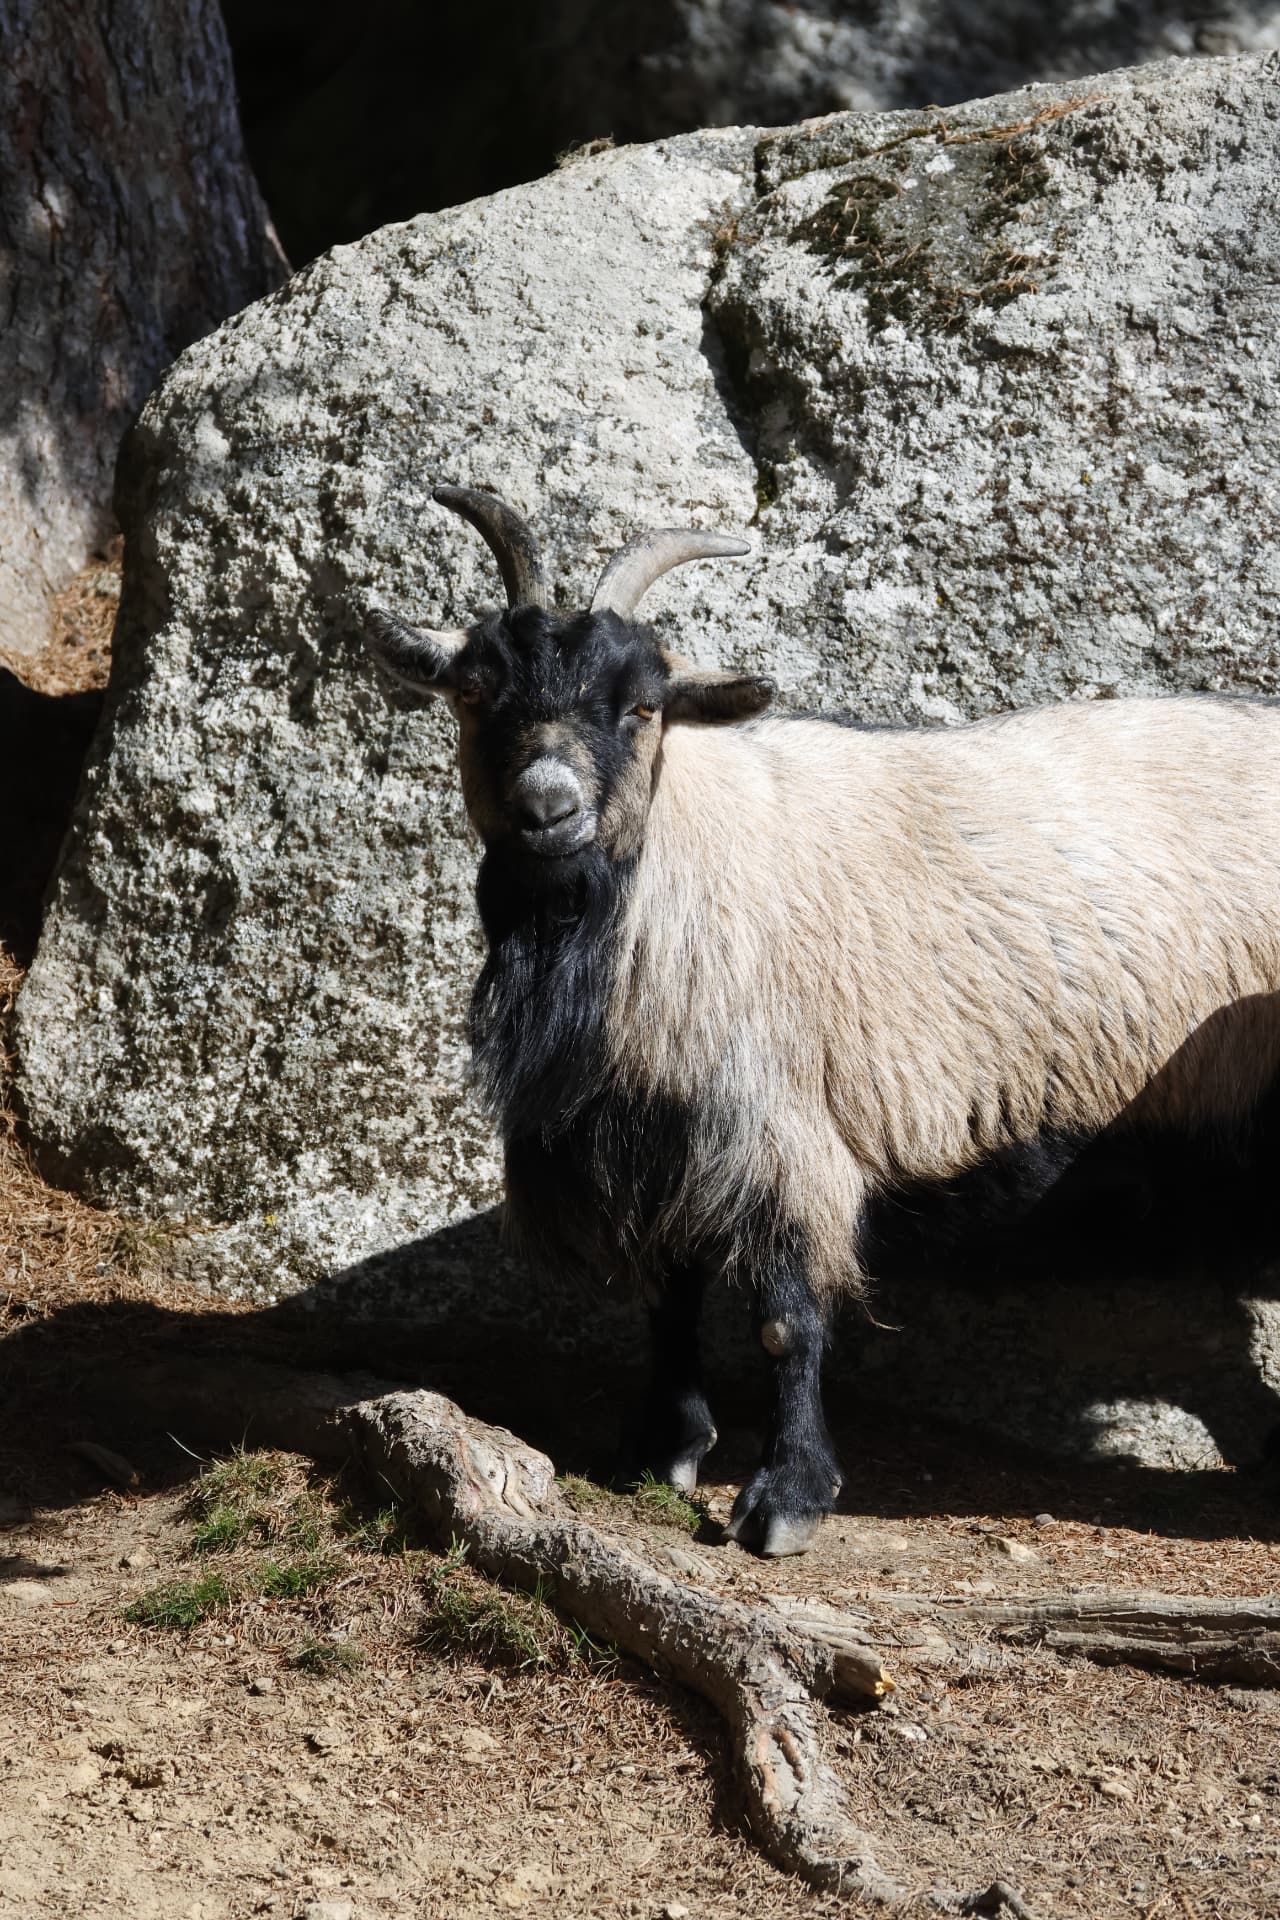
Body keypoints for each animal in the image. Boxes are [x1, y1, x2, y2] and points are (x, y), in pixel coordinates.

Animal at [360, 484, 1280, 1555]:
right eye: (474, 693)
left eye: (642, 705)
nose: (548, 807)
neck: (662, 878)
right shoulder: (656, 1136)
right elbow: (668, 1302)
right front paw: (663, 1450)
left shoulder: (782, 1130)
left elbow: (783, 1320)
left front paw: (786, 1498)